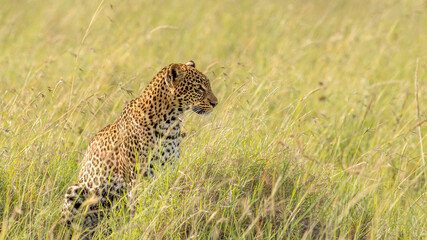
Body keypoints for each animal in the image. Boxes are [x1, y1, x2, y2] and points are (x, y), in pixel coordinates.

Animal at [61, 60, 219, 231]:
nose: (215, 103)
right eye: (199, 88)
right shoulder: (137, 176)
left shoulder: (169, 169)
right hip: (76, 190)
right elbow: (138, 205)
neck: (170, 123)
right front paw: (136, 226)